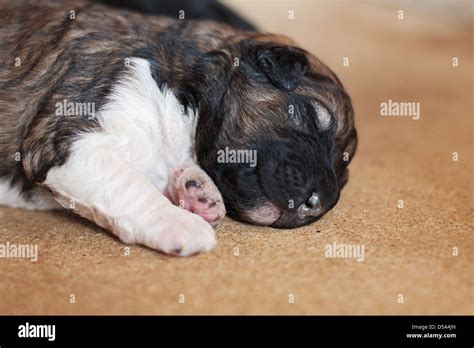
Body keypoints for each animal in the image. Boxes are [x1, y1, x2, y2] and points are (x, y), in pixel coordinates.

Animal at [0, 0, 356, 256]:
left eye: (343, 176)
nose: (317, 203)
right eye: (312, 116)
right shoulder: (69, 135)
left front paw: (198, 190)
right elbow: (128, 183)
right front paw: (181, 223)